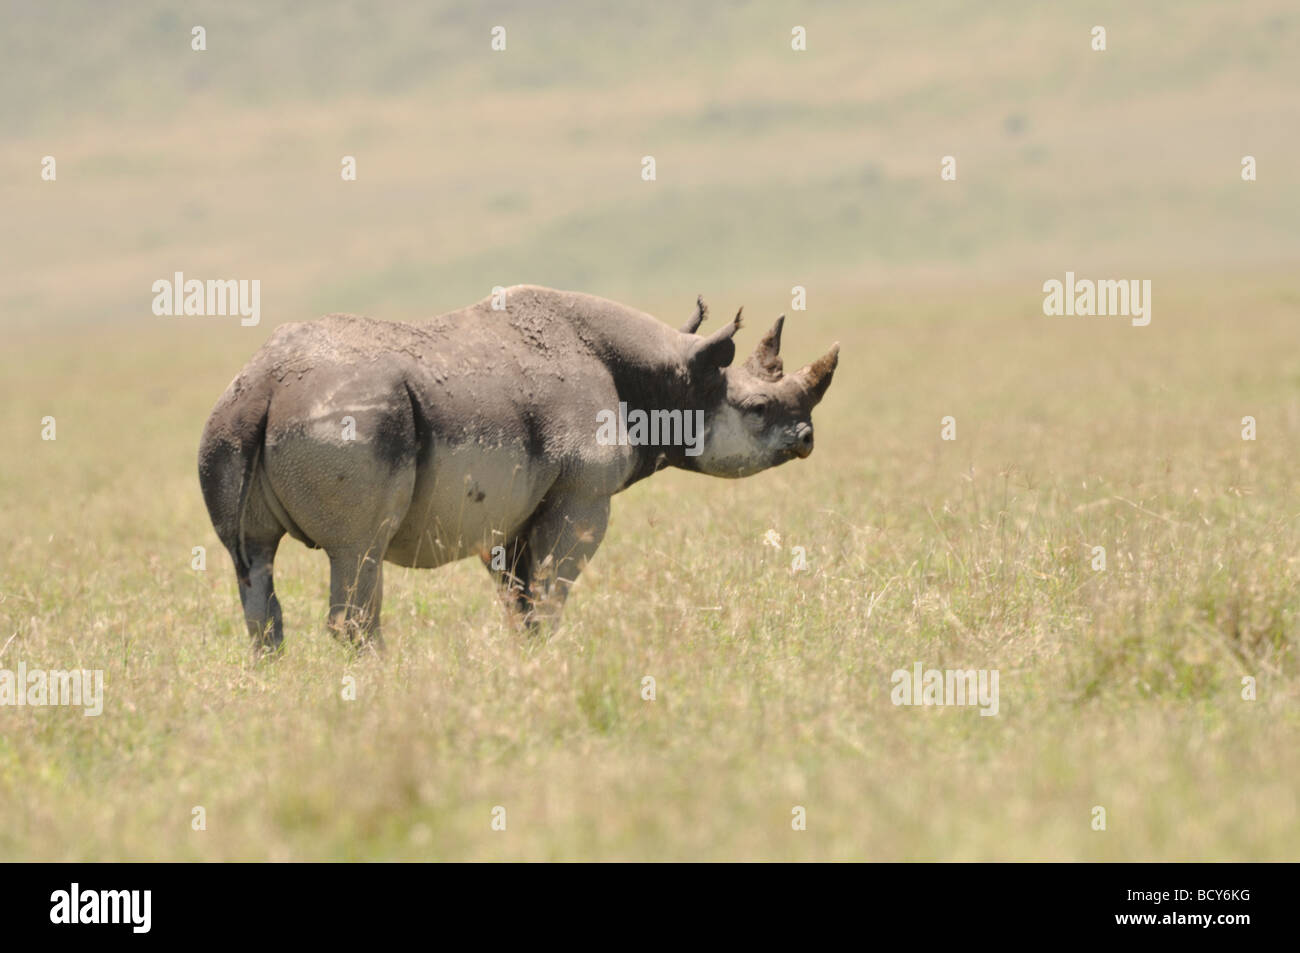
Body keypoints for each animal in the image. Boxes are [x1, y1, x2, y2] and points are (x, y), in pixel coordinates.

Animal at [197, 286, 837, 650]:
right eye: (758, 409)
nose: (807, 439)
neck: (669, 376)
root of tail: (264, 384)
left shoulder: (509, 509)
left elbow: (519, 600)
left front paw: (524, 662)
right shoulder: (582, 494)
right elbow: (551, 593)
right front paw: (549, 660)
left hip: (224, 426)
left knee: (253, 563)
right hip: (347, 420)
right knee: (359, 551)